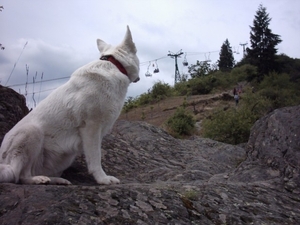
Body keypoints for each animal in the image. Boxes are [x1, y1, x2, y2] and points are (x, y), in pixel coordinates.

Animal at [0, 25, 139, 185]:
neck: (114, 64)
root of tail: (4, 162)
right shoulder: (91, 127)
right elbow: (95, 158)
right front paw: (102, 179)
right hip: (31, 132)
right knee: (20, 175)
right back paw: (37, 179)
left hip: (65, 158)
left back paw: (57, 180)